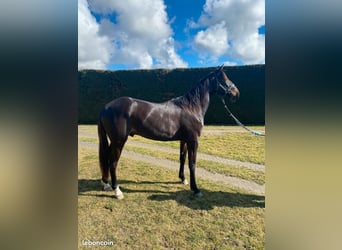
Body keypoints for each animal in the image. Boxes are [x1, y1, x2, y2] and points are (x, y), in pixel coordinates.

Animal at [97, 65, 239, 199]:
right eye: (223, 78)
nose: (236, 92)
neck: (191, 108)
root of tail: (106, 107)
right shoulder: (193, 141)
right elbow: (192, 163)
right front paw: (196, 189)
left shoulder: (184, 140)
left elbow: (182, 158)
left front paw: (183, 179)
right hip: (119, 141)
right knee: (113, 162)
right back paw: (117, 191)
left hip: (114, 141)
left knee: (107, 159)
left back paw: (106, 184)